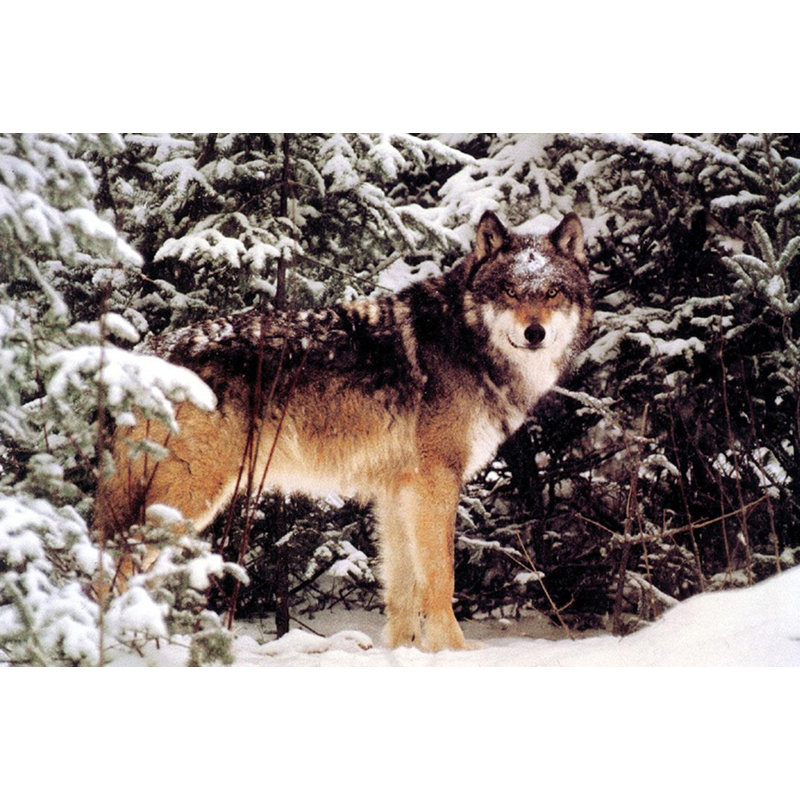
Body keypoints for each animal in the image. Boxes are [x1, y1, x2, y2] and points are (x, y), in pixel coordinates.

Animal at [95, 210, 592, 651]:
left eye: (552, 292)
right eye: (509, 290)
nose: (534, 332)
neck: (467, 343)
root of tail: (145, 353)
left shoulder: (397, 491)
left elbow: (403, 588)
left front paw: (406, 652)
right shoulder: (435, 482)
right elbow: (440, 578)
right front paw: (455, 652)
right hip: (188, 499)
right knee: (114, 565)